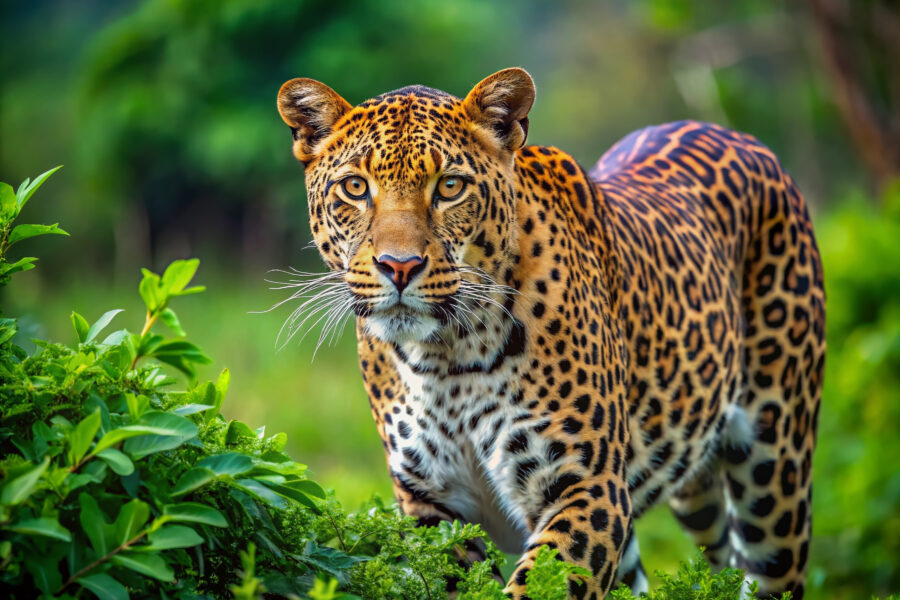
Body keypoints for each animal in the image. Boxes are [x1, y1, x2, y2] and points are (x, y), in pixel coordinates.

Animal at [275, 68, 825, 599]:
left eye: (450, 187)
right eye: (354, 188)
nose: (399, 266)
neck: (446, 358)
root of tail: (741, 137)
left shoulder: (587, 484)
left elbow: (541, 584)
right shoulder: (432, 506)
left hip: (776, 472)